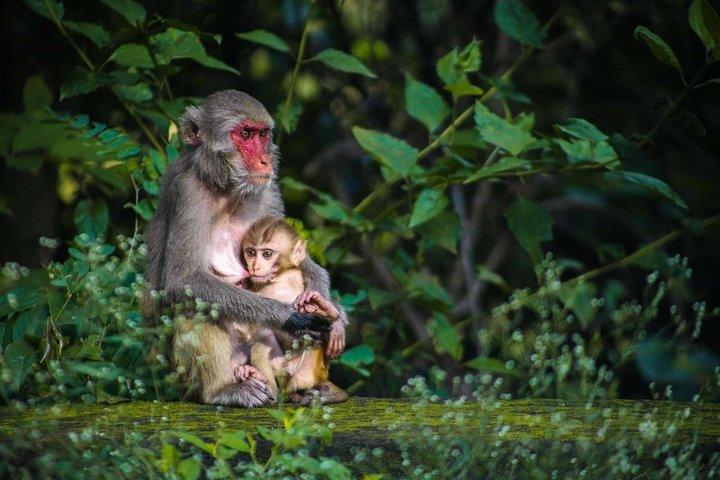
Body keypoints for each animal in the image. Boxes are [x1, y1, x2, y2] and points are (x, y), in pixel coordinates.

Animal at [237, 215, 348, 405]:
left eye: (267, 254)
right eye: (250, 253)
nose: (254, 267)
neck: (279, 279)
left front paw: (326, 313)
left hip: (310, 372)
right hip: (282, 372)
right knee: (263, 336)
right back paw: (265, 385)